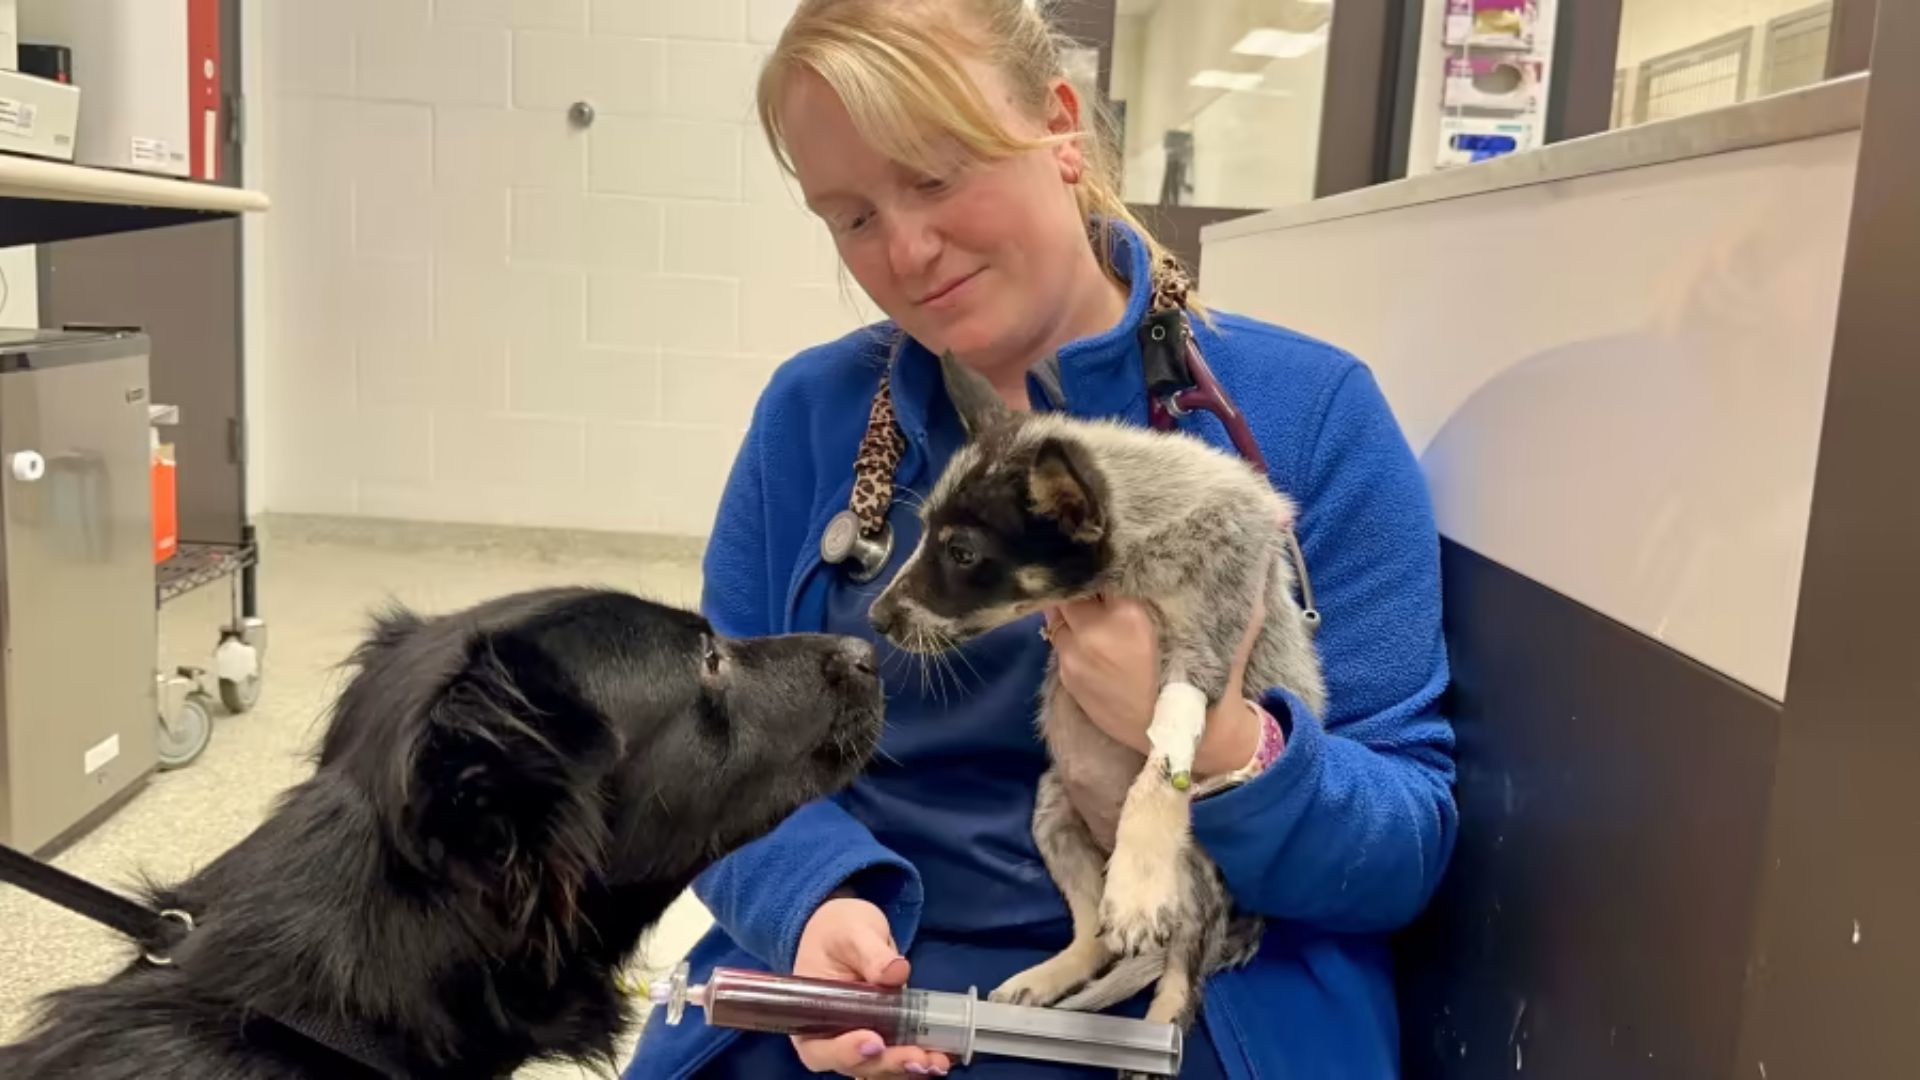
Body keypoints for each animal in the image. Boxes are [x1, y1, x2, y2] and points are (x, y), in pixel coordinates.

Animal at [875, 351, 1336, 1053]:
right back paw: (1049, 978)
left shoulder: (1205, 650)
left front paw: (1138, 881)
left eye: (963, 552)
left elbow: (1163, 761)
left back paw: (1158, 1031)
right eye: (924, 533)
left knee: (1184, 967)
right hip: (1051, 812)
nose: (876, 618)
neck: (1143, 541)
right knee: (1095, 934)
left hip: (1198, 880)